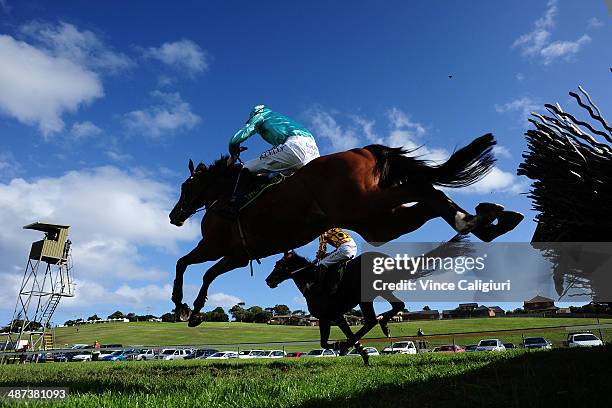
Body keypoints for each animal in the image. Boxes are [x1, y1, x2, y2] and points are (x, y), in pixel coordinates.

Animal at [170, 135, 524, 326]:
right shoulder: (237, 255)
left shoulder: (221, 249)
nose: (175, 216)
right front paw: (190, 309)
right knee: (427, 198)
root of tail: (364, 150)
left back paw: (482, 220)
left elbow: (190, 267)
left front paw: (186, 307)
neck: (224, 195)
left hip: (367, 204)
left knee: (421, 186)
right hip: (377, 222)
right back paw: (487, 220)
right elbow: (198, 269)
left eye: (186, 187)